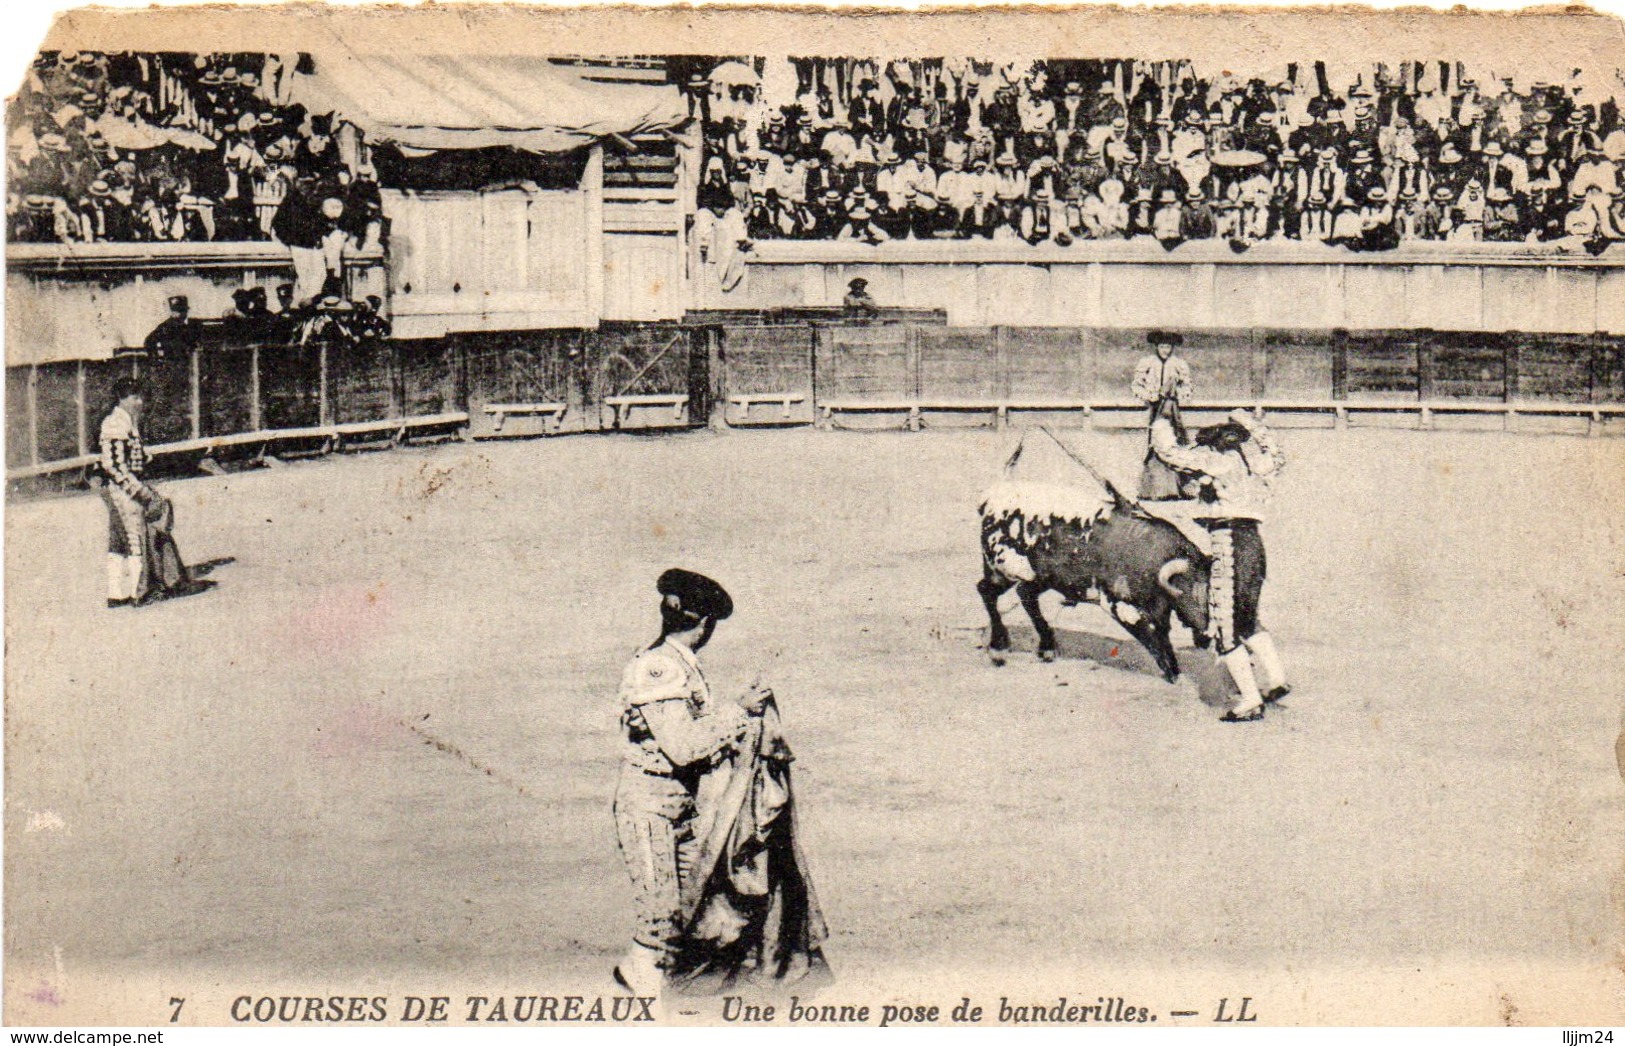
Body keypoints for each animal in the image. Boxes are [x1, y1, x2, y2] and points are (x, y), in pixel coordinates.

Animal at [975, 487, 1209, 682]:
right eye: (1191, 591)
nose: (1207, 636)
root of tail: (991, 501)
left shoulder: (1160, 613)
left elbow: (1163, 638)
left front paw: (1176, 671)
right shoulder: (1117, 605)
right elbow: (1151, 639)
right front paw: (1172, 675)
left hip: (1040, 578)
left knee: (1024, 594)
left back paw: (1046, 648)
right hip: (1004, 569)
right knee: (987, 591)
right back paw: (998, 648)